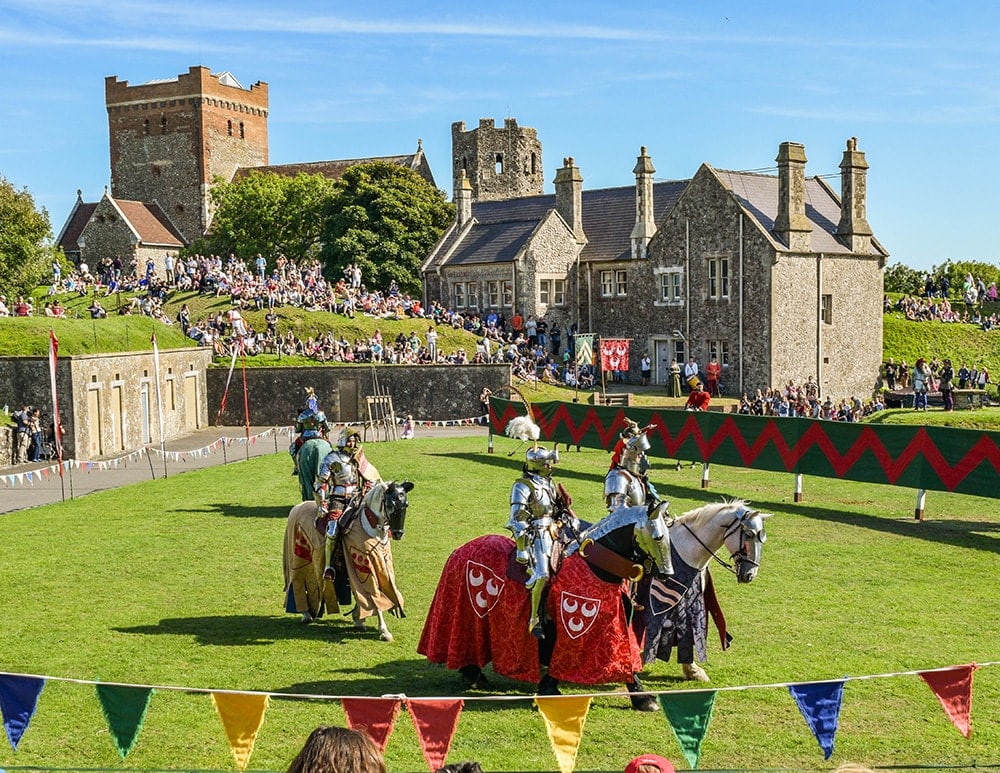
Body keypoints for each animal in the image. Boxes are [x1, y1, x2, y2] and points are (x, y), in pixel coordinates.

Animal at [286, 480, 414, 644]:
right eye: (391, 504)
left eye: (406, 504)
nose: (398, 534)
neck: (371, 527)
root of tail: (297, 507)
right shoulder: (366, 566)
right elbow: (374, 595)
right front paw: (384, 631)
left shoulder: (382, 565)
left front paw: (359, 619)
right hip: (300, 559)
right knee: (300, 582)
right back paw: (307, 614)